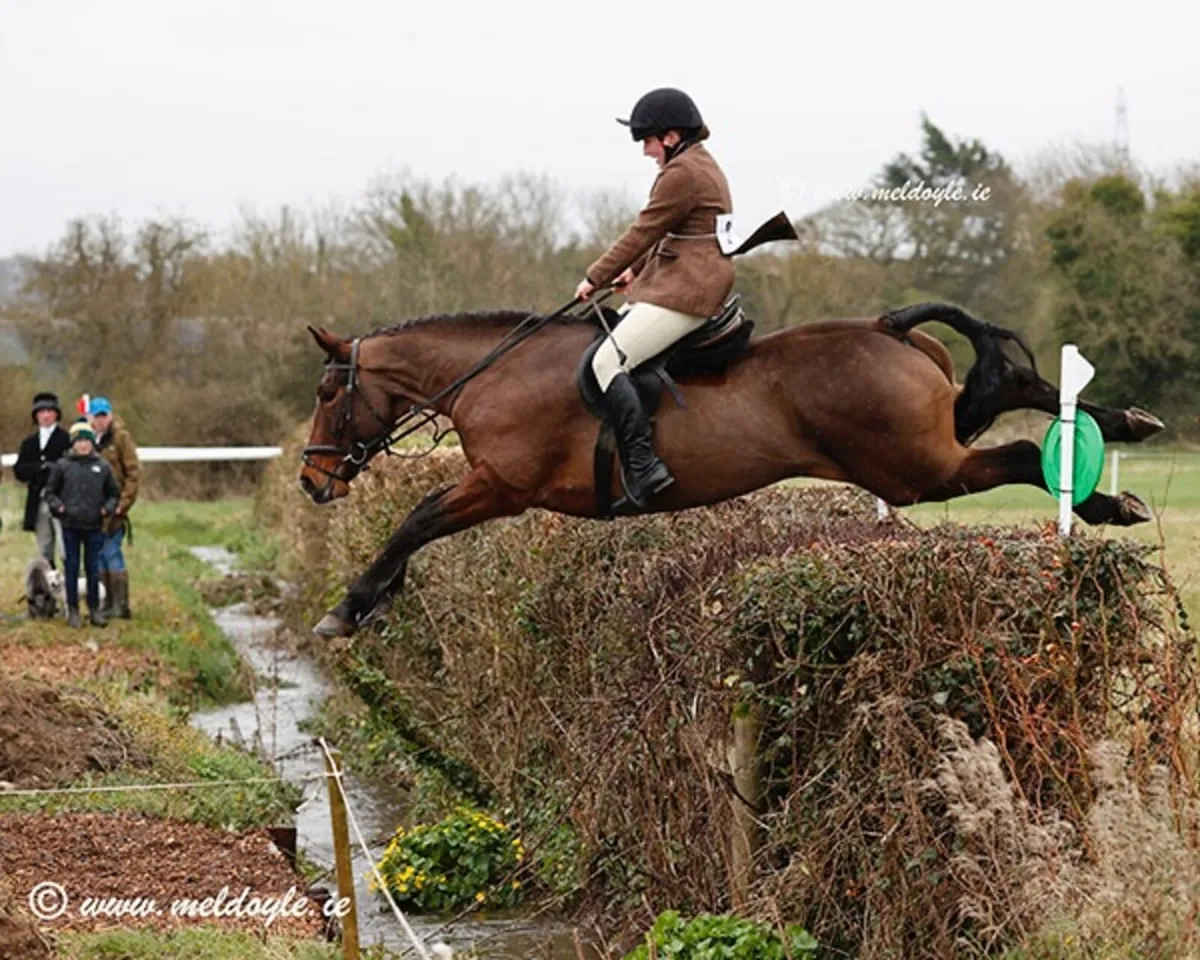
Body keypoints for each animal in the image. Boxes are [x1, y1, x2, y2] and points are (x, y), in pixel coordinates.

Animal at [298, 301, 1163, 638]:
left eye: (326, 394)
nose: (312, 482)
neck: (491, 374)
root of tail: (887, 327)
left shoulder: (502, 487)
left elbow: (417, 518)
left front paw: (350, 607)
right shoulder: (495, 489)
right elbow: (418, 525)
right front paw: (376, 598)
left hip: (912, 467)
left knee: (1015, 451)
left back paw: (1107, 505)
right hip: (928, 441)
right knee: (1017, 392)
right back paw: (1128, 433)